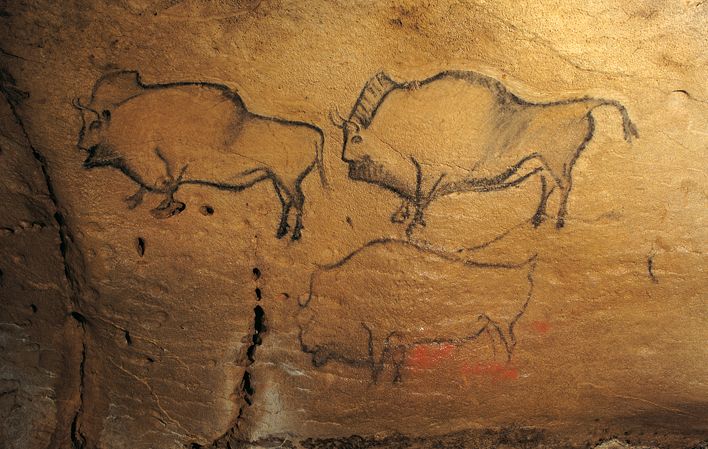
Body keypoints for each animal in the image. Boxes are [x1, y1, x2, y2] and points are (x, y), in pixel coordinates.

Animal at [73, 70, 324, 240]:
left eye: (95, 123)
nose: (80, 145)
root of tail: (315, 135)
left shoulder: (173, 161)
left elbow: (170, 184)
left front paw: (165, 208)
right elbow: (154, 185)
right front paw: (134, 200)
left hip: (287, 179)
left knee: (299, 200)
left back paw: (294, 235)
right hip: (276, 179)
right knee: (288, 201)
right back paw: (281, 232)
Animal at [298, 240, 536, 384]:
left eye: (315, 314)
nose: (304, 345)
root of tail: (523, 270)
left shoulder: (379, 333)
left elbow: (377, 364)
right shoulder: (399, 338)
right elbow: (396, 361)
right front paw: (395, 382)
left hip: (503, 324)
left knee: (510, 344)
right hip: (491, 326)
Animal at [334, 70, 640, 234]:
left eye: (357, 137)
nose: (345, 159)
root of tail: (584, 107)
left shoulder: (430, 170)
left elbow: (422, 196)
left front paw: (413, 225)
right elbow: (415, 195)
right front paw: (402, 216)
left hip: (558, 163)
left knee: (565, 186)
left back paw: (559, 222)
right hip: (542, 164)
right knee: (548, 186)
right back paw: (537, 219)